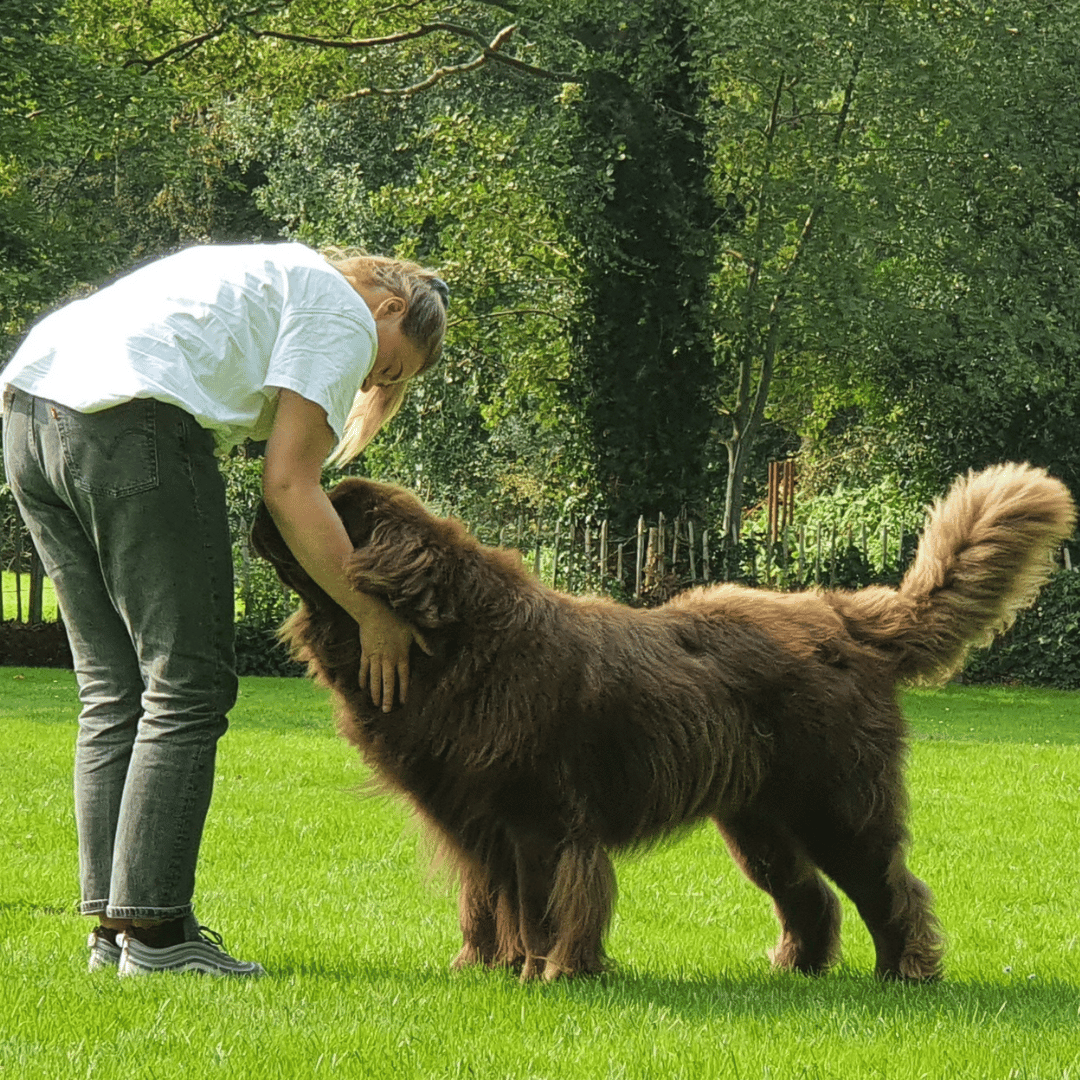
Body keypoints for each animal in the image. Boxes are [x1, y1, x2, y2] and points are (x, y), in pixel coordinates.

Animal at [250, 460, 1071, 984]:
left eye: (332, 512)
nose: (262, 499)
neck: (452, 641)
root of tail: (843, 613)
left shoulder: (539, 820)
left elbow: (542, 902)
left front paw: (545, 974)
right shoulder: (476, 821)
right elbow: (486, 904)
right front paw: (481, 970)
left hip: (835, 804)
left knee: (890, 888)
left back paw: (905, 974)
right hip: (759, 822)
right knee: (810, 895)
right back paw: (796, 971)